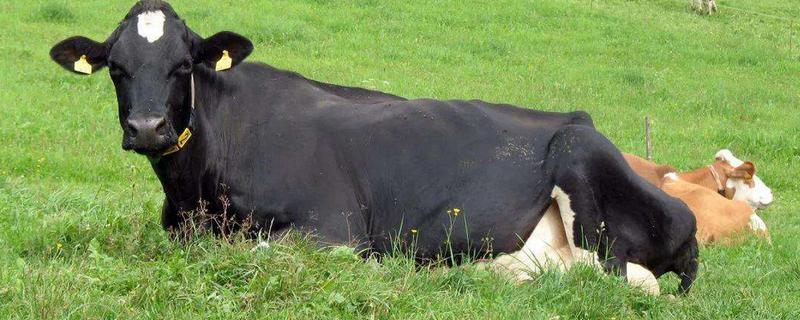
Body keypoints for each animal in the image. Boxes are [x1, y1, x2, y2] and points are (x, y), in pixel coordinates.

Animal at [51, 0, 700, 296]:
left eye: (183, 64)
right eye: (116, 69)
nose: (148, 128)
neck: (197, 196)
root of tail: (581, 118)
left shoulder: (333, 226)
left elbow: (260, 252)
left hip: (582, 165)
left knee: (623, 276)